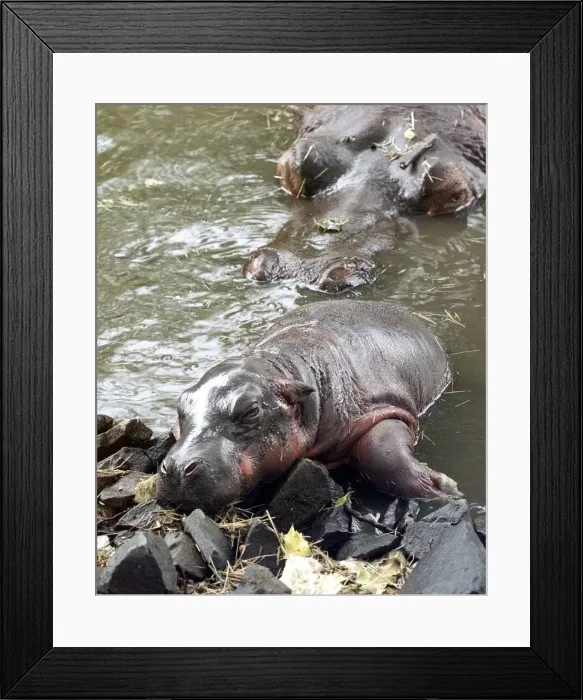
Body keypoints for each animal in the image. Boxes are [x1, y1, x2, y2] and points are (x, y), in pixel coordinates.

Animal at [157, 300, 460, 514]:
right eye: (182, 406)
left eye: (251, 410)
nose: (178, 468)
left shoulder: (382, 407)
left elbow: (381, 452)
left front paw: (445, 488)